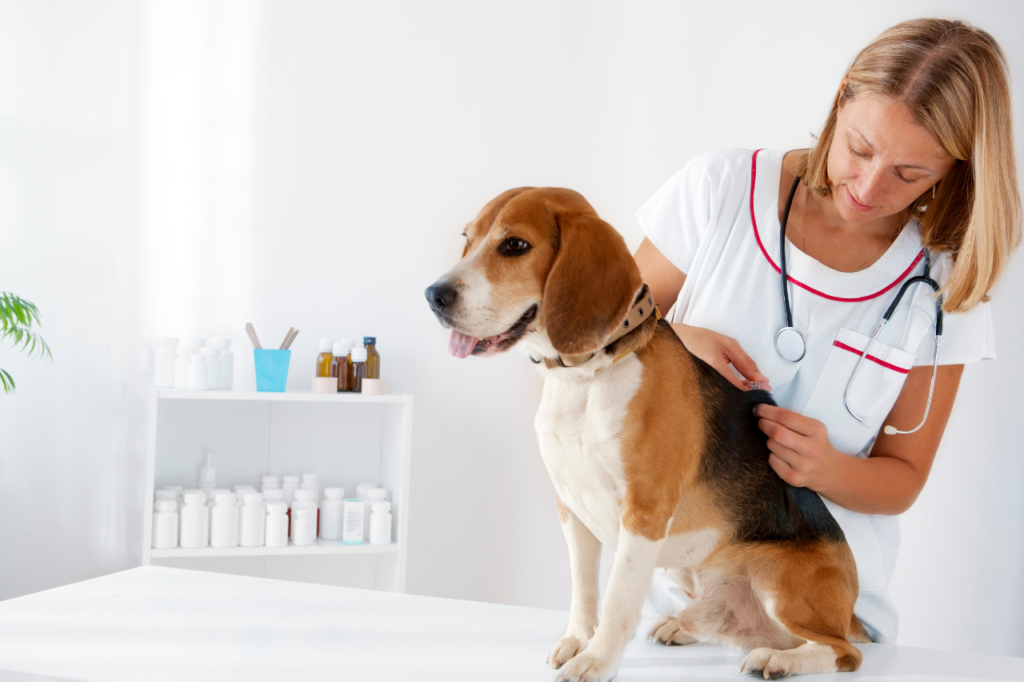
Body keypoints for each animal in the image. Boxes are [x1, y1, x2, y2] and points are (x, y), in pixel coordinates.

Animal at [421, 187, 864, 679]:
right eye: (467, 239)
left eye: (515, 245)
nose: (434, 295)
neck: (586, 377)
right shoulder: (571, 506)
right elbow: (584, 588)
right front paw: (577, 640)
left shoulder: (645, 511)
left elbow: (618, 598)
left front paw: (596, 661)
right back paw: (686, 626)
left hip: (780, 584)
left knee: (843, 652)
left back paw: (779, 659)